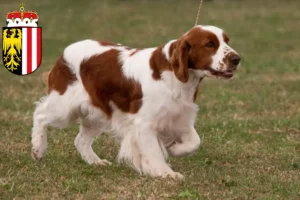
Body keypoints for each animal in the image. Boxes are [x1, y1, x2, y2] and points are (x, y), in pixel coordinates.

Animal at [31, 25, 240, 180]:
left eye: (227, 41)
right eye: (210, 44)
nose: (237, 59)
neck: (175, 76)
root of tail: (65, 52)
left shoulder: (180, 117)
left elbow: (194, 142)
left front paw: (173, 149)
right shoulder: (145, 123)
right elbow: (154, 151)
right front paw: (166, 173)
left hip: (98, 112)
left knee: (80, 140)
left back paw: (96, 161)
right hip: (64, 106)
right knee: (40, 114)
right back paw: (38, 149)